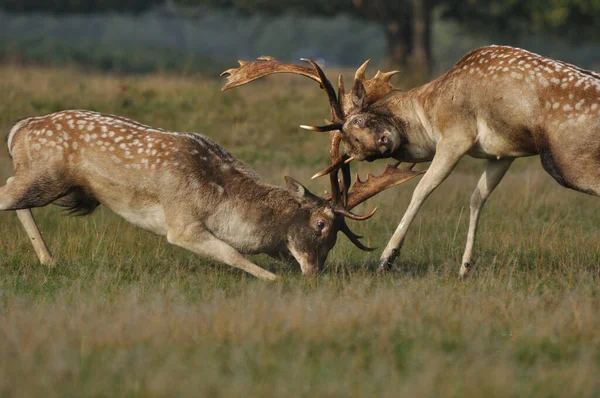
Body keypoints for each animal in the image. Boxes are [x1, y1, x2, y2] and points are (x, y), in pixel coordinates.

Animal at [1, 95, 422, 280]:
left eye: (336, 236)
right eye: (321, 225)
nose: (314, 273)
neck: (223, 200)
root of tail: (17, 130)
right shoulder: (181, 222)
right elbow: (234, 255)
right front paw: (273, 281)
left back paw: (49, 260)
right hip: (44, 175)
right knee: (6, 193)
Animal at [223, 45, 600, 276]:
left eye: (360, 122)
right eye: (355, 151)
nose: (382, 142)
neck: (430, 111)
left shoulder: (456, 135)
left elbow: (422, 189)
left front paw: (386, 258)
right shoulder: (502, 152)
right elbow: (477, 198)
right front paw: (465, 268)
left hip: (565, 158)